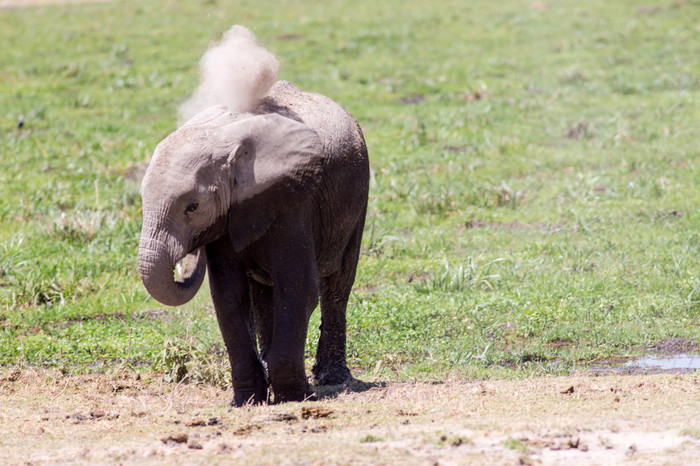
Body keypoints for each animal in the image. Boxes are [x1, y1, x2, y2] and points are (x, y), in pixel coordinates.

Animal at [134, 82, 370, 406]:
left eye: (192, 207)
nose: (189, 254)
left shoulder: (292, 199)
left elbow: (298, 287)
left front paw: (296, 397)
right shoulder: (227, 217)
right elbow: (229, 296)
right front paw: (246, 400)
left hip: (357, 197)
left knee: (339, 283)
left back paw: (332, 379)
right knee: (262, 293)